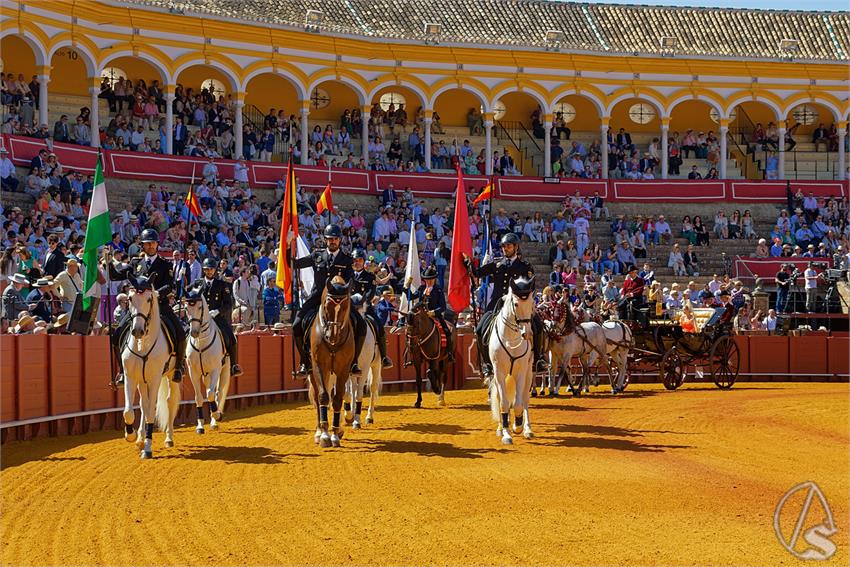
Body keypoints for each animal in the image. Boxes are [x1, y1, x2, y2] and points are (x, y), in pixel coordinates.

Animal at [121, 286, 181, 460]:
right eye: (130, 298)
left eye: (149, 299)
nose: (137, 331)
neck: (144, 344)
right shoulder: (130, 377)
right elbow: (129, 411)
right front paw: (131, 435)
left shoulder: (155, 379)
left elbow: (150, 413)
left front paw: (147, 449)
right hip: (142, 381)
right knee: (143, 404)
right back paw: (140, 439)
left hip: (171, 376)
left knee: (169, 401)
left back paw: (169, 438)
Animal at [184, 292, 232, 434]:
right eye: (186, 308)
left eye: (200, 307)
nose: (194, 332)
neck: (201, 341)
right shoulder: (193, 372)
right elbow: (199, 397)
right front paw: (200, 426)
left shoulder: (215, 369)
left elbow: (211, 394)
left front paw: (217, 415)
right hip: (206, 375)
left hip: (225, 370)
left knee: (218, 393)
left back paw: (215, 419)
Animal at [308, 276, 354, 448]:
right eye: (327, 305)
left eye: (346, 306)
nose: (332, 335)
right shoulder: (319, 366)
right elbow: (323, 397)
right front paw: (324, 436)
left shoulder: (343, 369)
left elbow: (338, 398)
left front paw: (334, 434)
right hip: (314, 372)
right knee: (317, 397)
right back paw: (319, 431)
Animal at [344, 298, 384, 430]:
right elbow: (348, 393)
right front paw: (348, 416)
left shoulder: (365, 368)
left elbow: (359, 395)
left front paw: (356, 421)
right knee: (353, 388)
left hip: (376, 365)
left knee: (372, 387)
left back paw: (369, 417)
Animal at [486, 278, 532, 446]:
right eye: (516, 304)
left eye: (532, 302)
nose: (527, 333)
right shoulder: (498, 372)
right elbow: (503, 403)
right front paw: (506, 433)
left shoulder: (521, 371)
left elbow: (518, 403)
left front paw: (517, 426)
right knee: (499, 398)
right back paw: (501, 428)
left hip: (529, 372)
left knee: (524, 398)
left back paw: (527, 429)